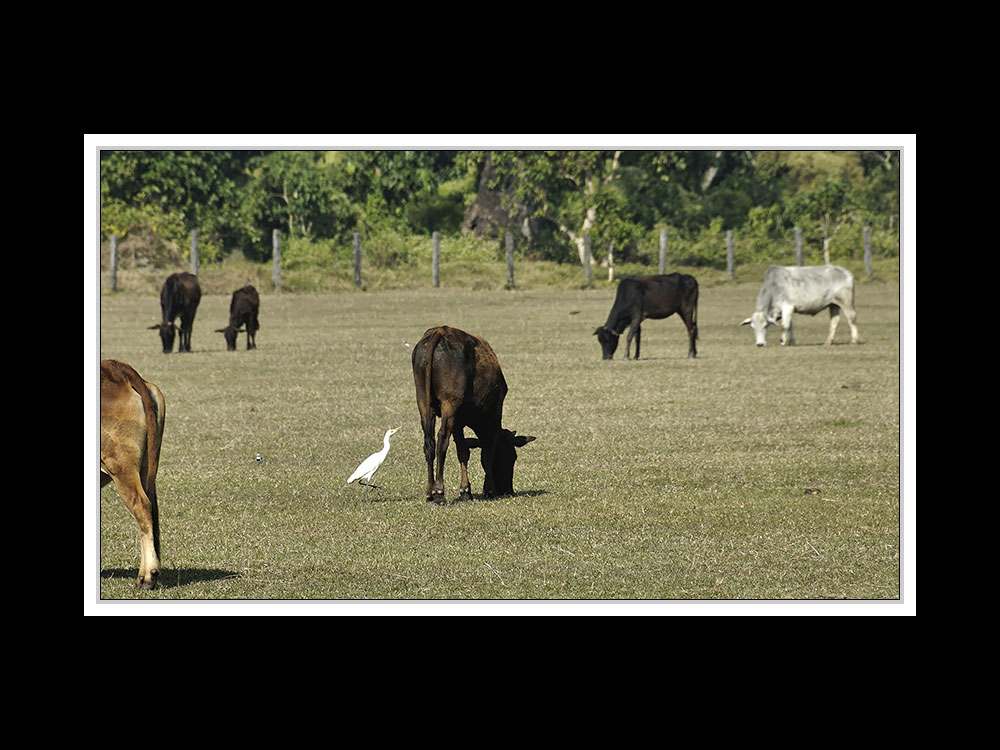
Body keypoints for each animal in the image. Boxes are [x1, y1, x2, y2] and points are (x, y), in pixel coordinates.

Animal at [410, 324, 536, 506]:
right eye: (512, 457)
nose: (508, 490)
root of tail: (439, 331)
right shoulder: (494, 415)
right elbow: (487, 453)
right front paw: (488, 490)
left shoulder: (458, 421)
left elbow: (463, 451)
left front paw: (465, 491)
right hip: (449, 402)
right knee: (442, 439)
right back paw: (439, 492)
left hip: (423, 401)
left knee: (429, 442)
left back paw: (429, 492)